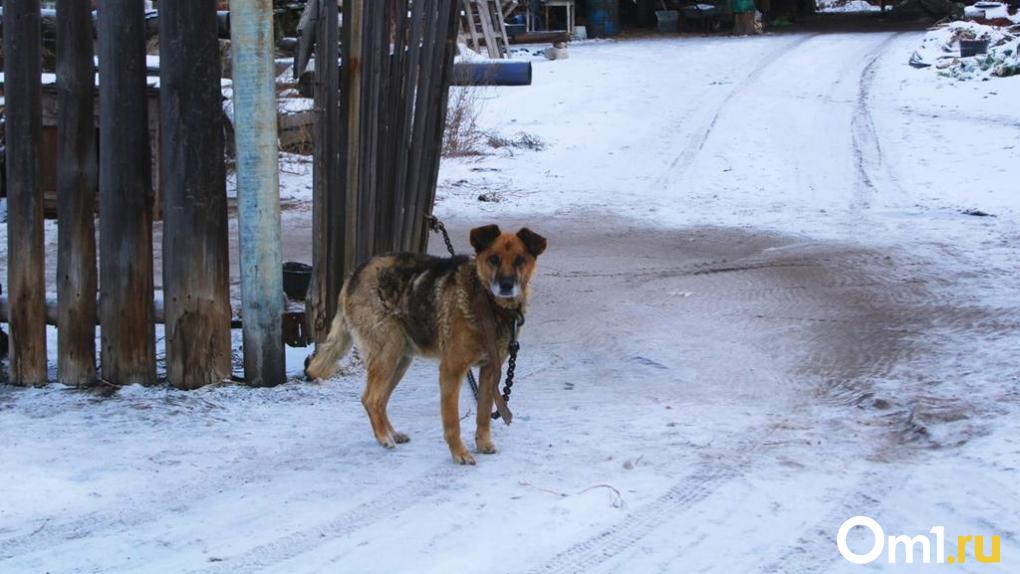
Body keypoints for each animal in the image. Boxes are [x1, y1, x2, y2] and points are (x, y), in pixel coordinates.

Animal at [301, 222, 546, 464]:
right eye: (493, 259)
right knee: (370, 398)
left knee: (380, 400)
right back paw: (383, 437)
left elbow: (483, 412)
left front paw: (483, 443)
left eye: (519, 260)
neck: (489, 304)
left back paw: (391, 433)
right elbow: (452, 420)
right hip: (387, 353)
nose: (506, 285)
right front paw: (459, 453)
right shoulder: (452, 370)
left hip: (400, 359)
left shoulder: (490, 370)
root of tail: (355, 273)